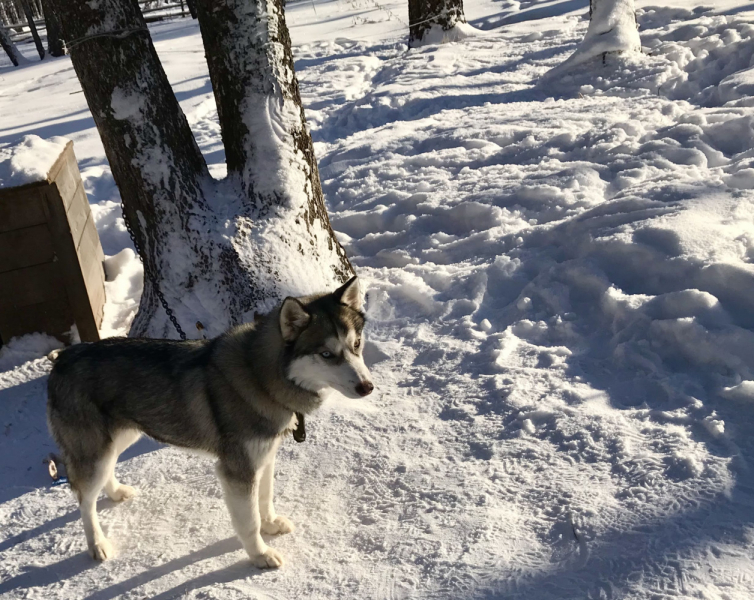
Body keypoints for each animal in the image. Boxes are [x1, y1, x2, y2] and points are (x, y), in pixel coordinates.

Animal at [47, 276, 374, 568]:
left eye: (357, 344)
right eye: (327, 354)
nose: (367, 387)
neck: (260, 375)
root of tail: (64, 356)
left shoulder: (265, 455)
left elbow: (265, 498)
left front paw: (270, 524)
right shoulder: (238, 469)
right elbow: (249, 520)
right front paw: (260, 555)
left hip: (123, 435)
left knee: (106, 470)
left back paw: (115, 492)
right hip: (93, 450)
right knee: (84, 500)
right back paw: (97, 544)